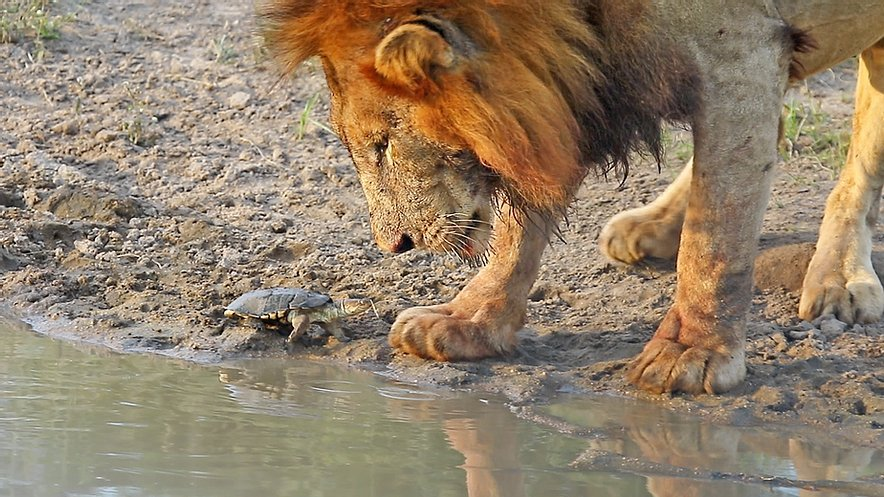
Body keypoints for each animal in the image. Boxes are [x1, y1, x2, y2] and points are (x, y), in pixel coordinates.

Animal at [260, 1, 884, 394]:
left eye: (383, 145)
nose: (396, 245)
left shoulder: (744, 53)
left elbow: (717, 239)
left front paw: (692, 352)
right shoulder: (568, 90)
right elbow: (518, 229)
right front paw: (467, 322)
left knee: (856, 164)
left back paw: (838, 277)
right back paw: (653, 225)